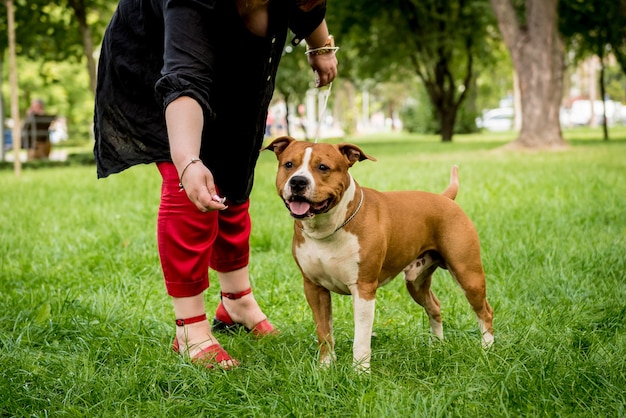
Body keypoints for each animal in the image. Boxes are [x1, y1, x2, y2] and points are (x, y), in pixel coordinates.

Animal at [260, 136, 490, 370]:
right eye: (289, 164)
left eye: (323, 167)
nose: (298, 181)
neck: (327, 228)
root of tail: (445, 198)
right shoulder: (314, 288)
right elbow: (324, 331)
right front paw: (325, 367)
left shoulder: (363, 289)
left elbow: (361, 337)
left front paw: (360, 371)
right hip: (416, 282)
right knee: (434, 306)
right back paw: (437, 346)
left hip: (468, 274)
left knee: (485, 311)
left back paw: (487, 350)